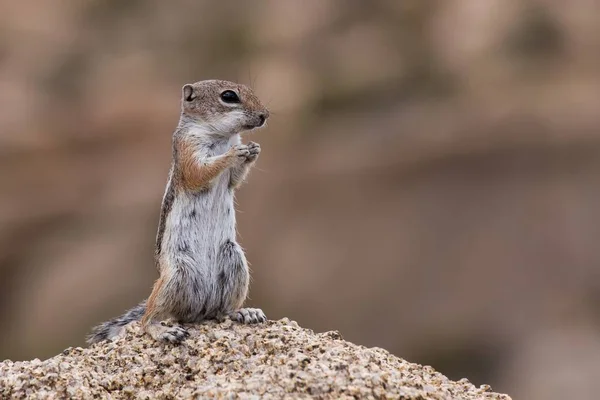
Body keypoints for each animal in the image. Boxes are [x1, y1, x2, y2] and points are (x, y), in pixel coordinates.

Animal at [86, 80, 270, 344]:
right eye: (229, 96)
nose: (264, 115)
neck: (221, 136)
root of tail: (200, 311)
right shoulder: (187, 150)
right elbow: (200, 172)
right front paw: (234, 154)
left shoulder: (230, 172)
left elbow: (235, 180)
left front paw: (253, 150)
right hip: (176, 275)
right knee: (148, 318)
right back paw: (162, 329)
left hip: (234, 262)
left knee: (223, 310)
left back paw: (244, 312)